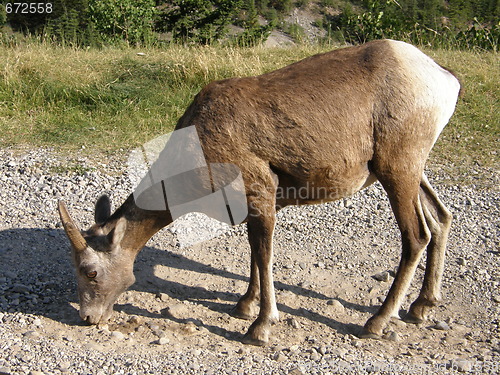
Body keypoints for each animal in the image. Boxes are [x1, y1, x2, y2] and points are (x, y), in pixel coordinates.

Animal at [58, 39, 460, 348]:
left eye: (90, 271)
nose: (88, 318)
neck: (198, 140)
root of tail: (444, 79)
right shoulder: (258, 203)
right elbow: (253, 252)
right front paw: (243, 306)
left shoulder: (260, 191)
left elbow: (264, 255)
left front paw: (260, 327)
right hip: (410, 170)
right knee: (441, 218)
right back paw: (422, 308)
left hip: (398, 168)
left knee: (416, 235)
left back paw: (376, 323)